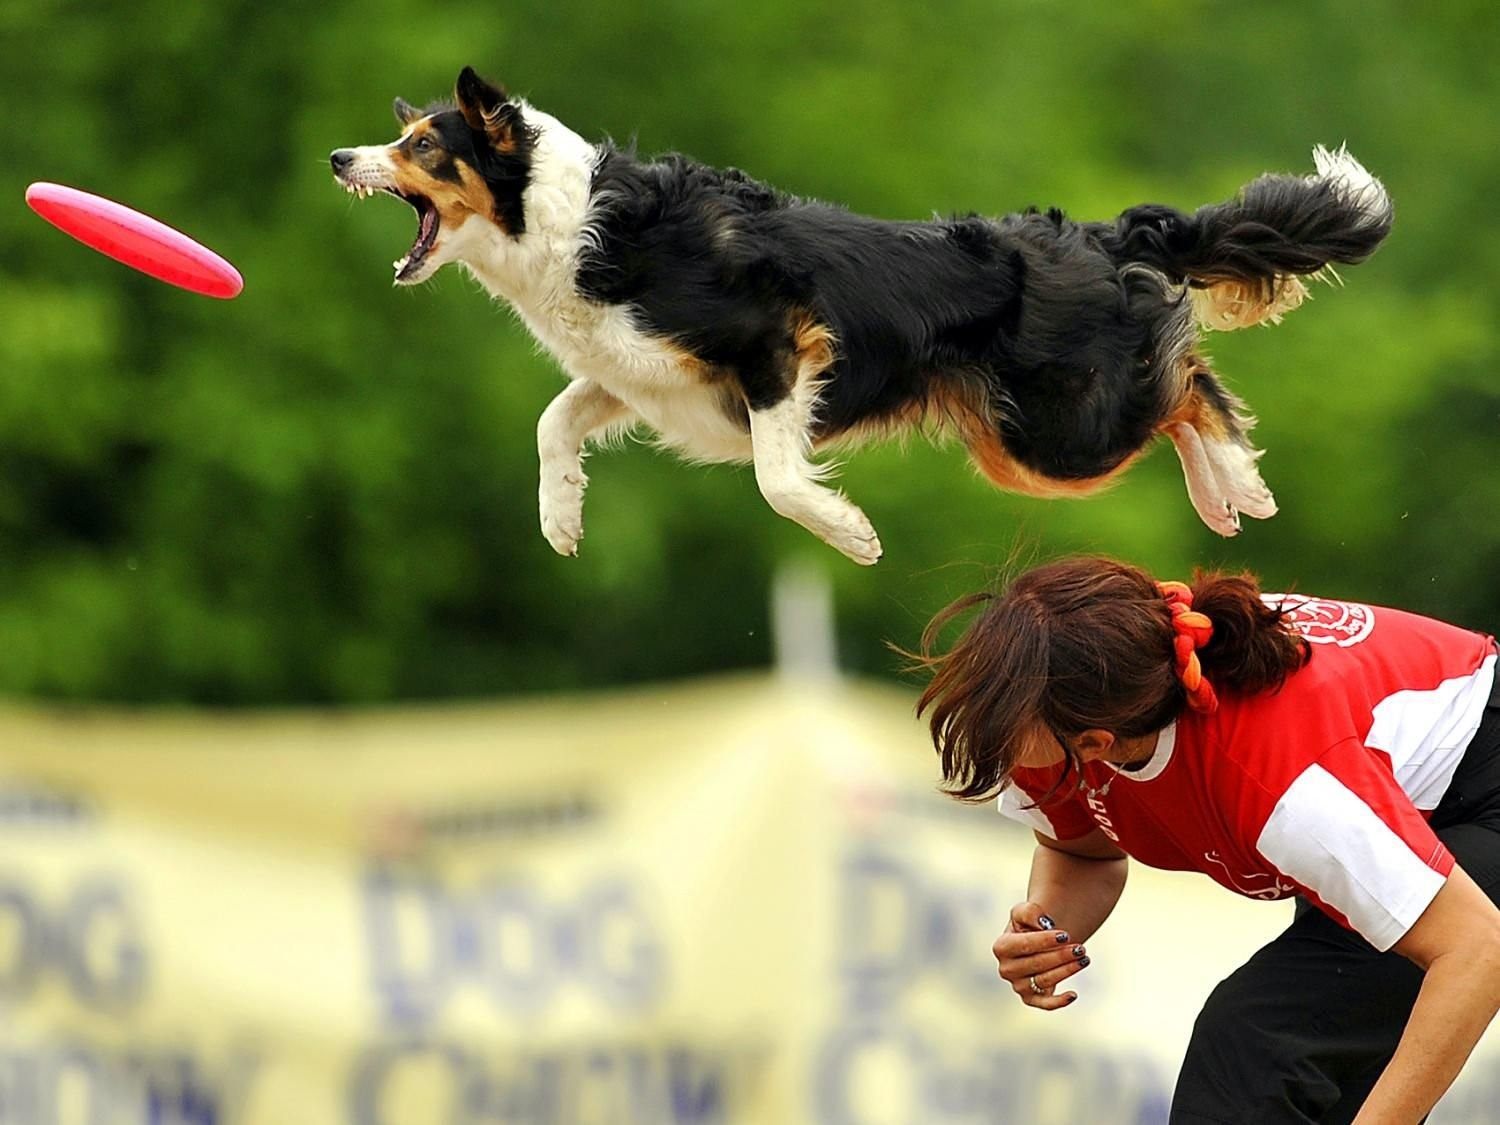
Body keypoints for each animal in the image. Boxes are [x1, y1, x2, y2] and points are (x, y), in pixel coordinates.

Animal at [331, 68, 1392, 564]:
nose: (340, 158)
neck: (565, 220)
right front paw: (561, 519)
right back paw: (1225, 494)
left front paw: (850, 534)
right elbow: (554, 419)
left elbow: (775, 479)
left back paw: (1236, 488)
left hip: (1053, 433)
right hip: (1023, 437)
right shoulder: (642, 376)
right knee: (1184, 388)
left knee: (1189, 386)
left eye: (422, 145)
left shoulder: (777, 343)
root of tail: (1097, 234)